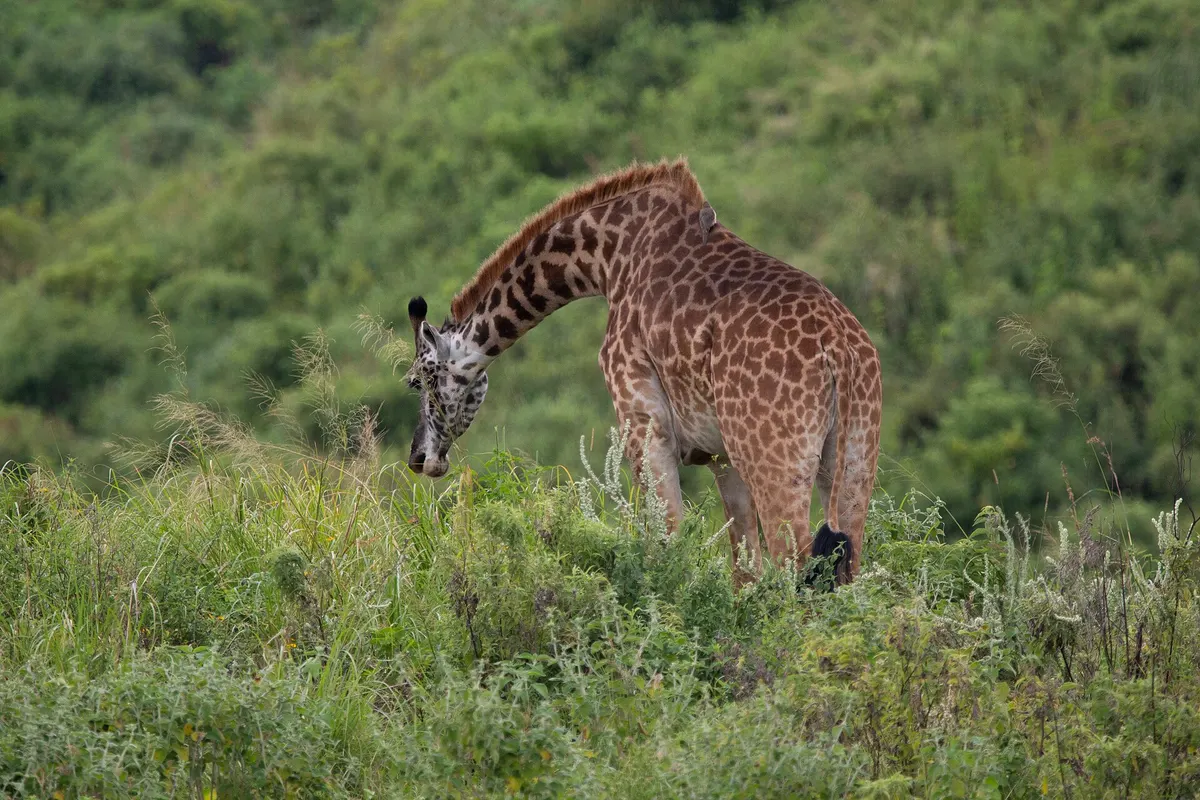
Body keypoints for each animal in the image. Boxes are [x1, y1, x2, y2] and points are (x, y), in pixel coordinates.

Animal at [403, 158, 882, 586]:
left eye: (419, 380)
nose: (419, 458)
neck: (607, 258)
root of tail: (837, 348)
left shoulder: (644, 426)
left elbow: (668, 545)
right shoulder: (722, 456)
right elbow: (744, 571)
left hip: (776, 461)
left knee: (799, 564)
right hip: (854, 459)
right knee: (844, 564)